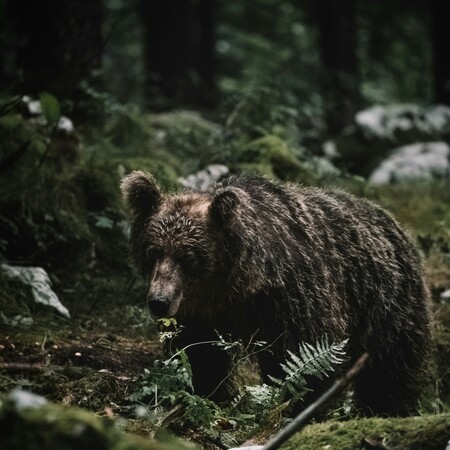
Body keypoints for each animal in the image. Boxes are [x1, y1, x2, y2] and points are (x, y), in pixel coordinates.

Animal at [120, 171, 432, 416]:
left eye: (188, 257)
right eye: (153, 251)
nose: (159, 302)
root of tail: (395, 224)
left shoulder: (294, 297)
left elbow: (304, 355)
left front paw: (294, 406)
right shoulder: (201, 313)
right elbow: (200, 353)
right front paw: (207, 393)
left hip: (388, 305)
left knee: (390, 368)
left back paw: (386, 409)